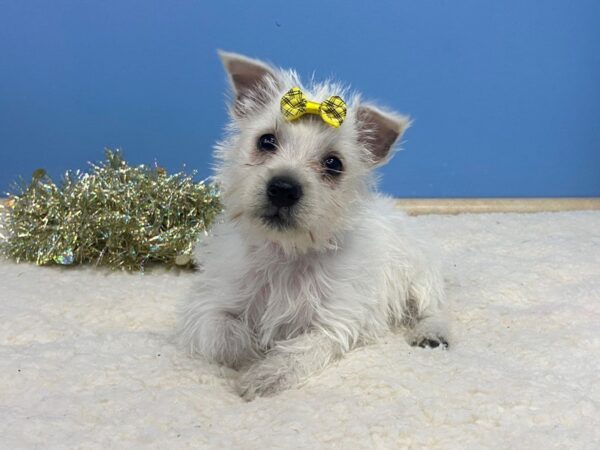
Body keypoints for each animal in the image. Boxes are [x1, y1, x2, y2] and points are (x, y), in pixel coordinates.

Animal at [178, 51, 450, 400]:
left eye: (334, 164)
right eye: (266, 141)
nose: (283, 188)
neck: (285, 254)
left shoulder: (335, 321)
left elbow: (302, 350)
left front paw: (265, 375)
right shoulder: (211, 303)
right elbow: (223, 334)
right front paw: (251, 354)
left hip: (419, 274)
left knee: (433, 307)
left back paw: (432, 333)